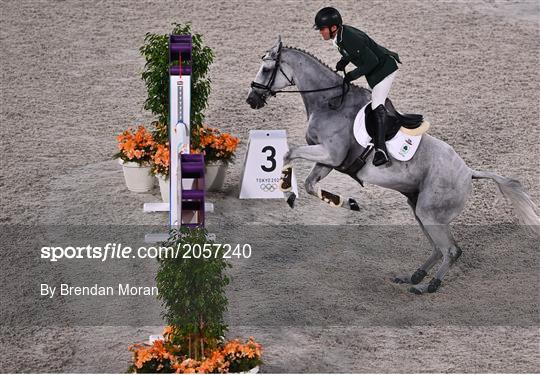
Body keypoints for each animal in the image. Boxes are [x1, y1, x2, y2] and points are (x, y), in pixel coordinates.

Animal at [246, 37, 540, 296]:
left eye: (267, 69)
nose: (252, 99)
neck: (329, 103)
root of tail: (469, 172)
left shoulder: (330, 154)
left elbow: (289, 153)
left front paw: (286, 188)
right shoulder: (328, 160)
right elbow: (309, 184)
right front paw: (345, 202)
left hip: (430, 212)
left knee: (451, 250)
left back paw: (428, 286)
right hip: (419, 209)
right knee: (438, 248)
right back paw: (414, 276)